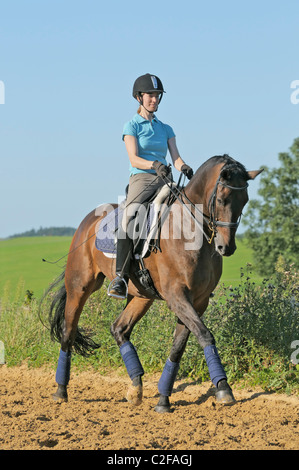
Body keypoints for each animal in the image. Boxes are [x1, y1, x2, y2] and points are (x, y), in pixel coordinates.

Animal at [43, 154, 264, 412]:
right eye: (221, 199)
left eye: (245, 201)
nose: (226, 247)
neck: (190, 230)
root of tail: (87, 221)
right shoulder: (177, 296)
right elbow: (204, 334)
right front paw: (223, 389)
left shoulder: (198, 301)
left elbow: (179, 346)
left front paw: (163, 400)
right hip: (79, 287)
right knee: (68, 332)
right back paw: (61, 390)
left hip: (141, 296)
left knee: (119, 328)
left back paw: (136, 387)